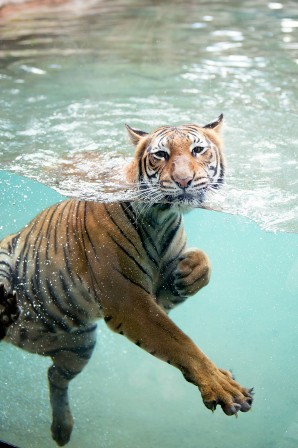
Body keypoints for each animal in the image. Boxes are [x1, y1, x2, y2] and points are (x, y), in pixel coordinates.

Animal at [0, 114, 253, 444]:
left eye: (198, 150)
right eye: (161, 155)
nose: (184, 181)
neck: (163, 217)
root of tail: (20, 337)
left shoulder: (154, 296)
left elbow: (203, 263)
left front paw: (189, 272)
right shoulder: (127, 299)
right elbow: (180, 341)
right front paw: (223, 387)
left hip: (80, 343)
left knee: (55, 375)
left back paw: (62, 430)